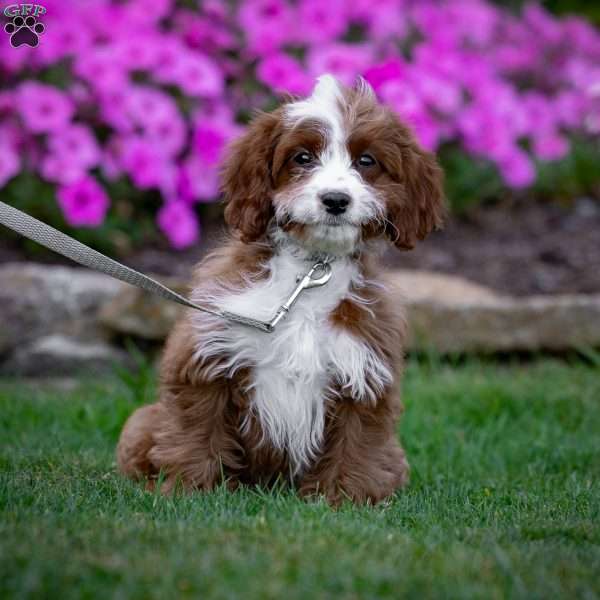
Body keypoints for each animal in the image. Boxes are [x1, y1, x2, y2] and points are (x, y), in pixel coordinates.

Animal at [118, 75, 446, 506]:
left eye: (366, 161)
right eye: (302, 158)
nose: (335, 200)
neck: (310, 270)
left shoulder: (364, 373)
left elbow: (358, 443)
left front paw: (343, 499)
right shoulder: (204, 357)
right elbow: (196, 429)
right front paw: (189, 490)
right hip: (143, 421)